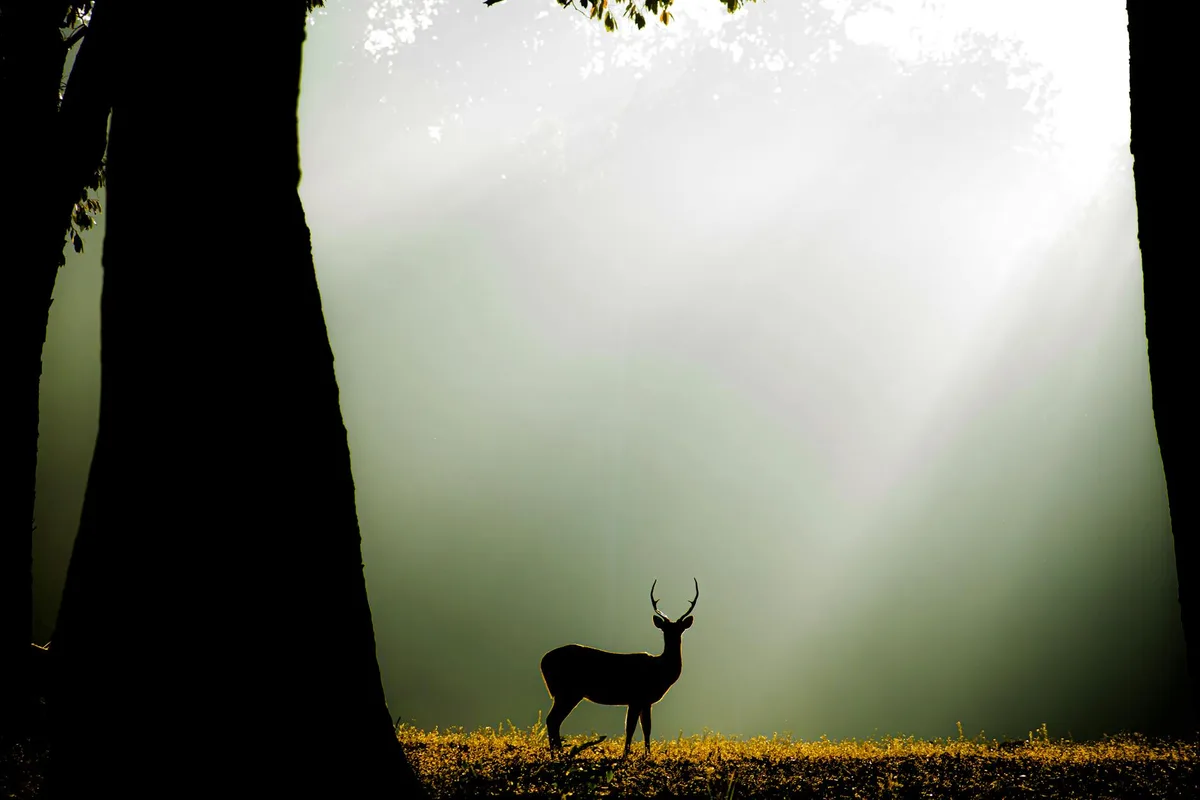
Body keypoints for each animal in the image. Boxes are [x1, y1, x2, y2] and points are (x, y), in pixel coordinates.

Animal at [540, 578, 698, 758]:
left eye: (680, 629)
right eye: (665, 630)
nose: (673, 638)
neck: (660, 670)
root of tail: (543, 661)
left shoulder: (646, 701)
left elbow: (647, 728)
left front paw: (647, 755)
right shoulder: (636, 697)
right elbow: (630, 728)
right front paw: (626, 755)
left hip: (566, 693)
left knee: (553, 720)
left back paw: (558, 754)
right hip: (568, 691)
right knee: (552, 720)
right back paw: (558, 755)